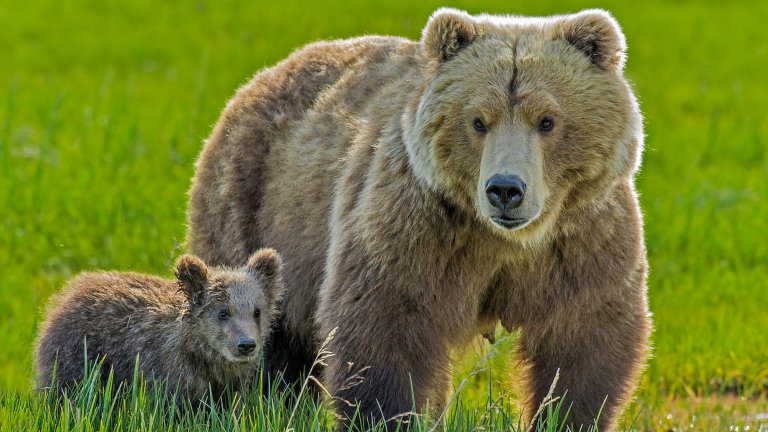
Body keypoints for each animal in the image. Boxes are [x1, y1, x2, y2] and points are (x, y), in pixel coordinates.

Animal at [35, 249, 284, 403]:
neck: (203, 356)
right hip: (78, 357)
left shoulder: (228, 384)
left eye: (257, 311)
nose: (246, 345)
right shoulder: (166, 376)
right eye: (223, 312)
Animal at [186, 8, 651, 430]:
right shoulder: (416, 227)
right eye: (478, 121)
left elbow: (584, 338)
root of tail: (265, 75)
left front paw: (564, 415)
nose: (505, 189)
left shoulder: (582, 239)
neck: (505, 242)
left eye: (547, 120)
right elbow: (386, 323)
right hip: (256, 205)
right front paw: (386, 416)